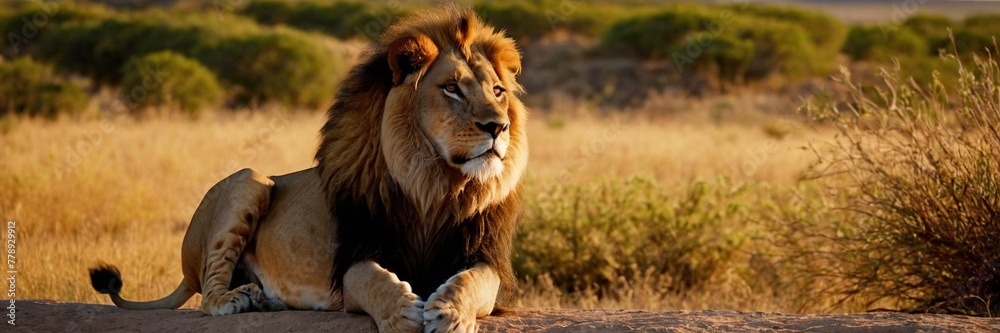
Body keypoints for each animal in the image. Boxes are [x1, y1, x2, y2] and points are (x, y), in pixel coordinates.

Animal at [86, 8, 532, 332]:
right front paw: (403, 312)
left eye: (497, 91)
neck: (434, 184)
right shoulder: (356, 256)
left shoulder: (484, 257)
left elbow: (475, 282)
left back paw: (262, 298)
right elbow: (372, 280)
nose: (498, 127)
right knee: (209, 294)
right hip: (249, 180)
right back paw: (240, 298)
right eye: (451, 88)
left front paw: (450, 313)